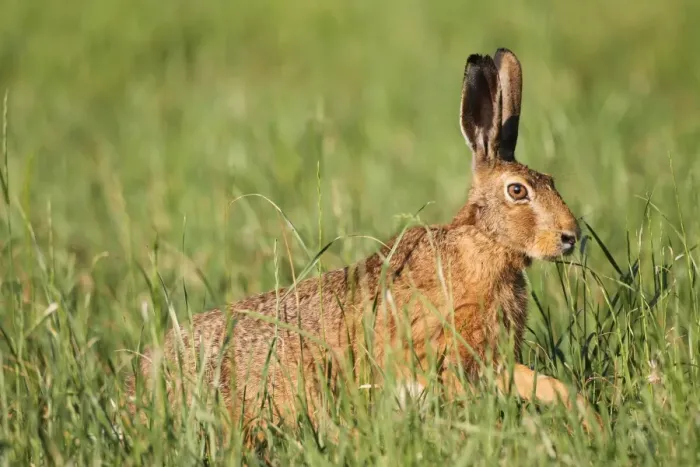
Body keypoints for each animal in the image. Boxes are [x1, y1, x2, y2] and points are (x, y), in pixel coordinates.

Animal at [126, 48, 603, 437]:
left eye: (551, 181)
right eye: (517, 191)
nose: (570, 237)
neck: (484, 243)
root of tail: (138, 380)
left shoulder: (490, 359)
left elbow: (539, 384)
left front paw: (589, 421)